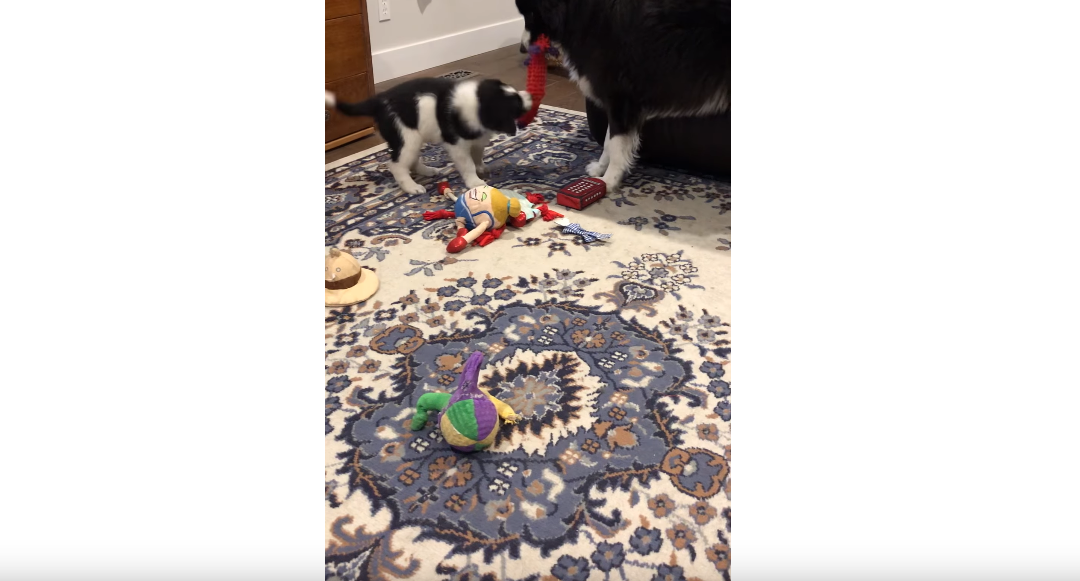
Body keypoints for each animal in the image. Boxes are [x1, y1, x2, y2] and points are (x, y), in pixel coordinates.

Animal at [326, 77, 533, 194]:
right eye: (516, 104)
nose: (530, 94)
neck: (477, 103)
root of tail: (379, 100)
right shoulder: (457, 145)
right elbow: (467, 164)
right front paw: (475, 182)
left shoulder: (476, 139)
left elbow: (477, 155)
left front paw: (481, 168)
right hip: (407, 137)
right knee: (396, 165)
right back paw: (411, 187)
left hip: (412, 138)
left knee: (410, 161)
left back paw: (427, 171)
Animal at [516, 0, 734, 188]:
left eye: (532, 13)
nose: (522, 48)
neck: (586, 13)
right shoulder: (618, 105)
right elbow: (608, 141)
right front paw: (599, 169)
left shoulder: (620, 100)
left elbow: (616, 145)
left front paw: (609, 181)